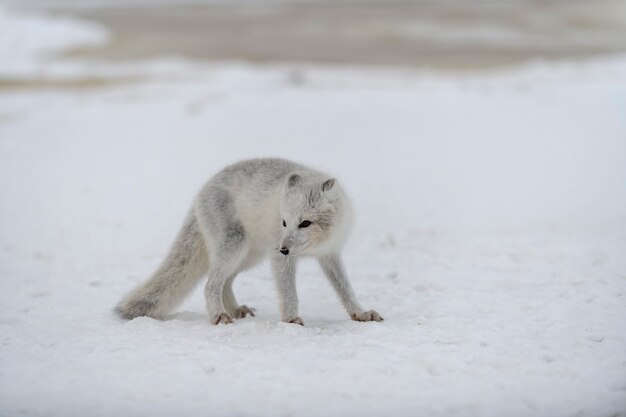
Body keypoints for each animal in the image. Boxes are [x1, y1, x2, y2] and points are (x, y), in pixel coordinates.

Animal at [115, 158, 382, 324]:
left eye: (305, 223)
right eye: (284, 222)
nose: (284, 248)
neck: (318, 243)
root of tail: (201, 192)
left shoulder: (330, 254)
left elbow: (346, 290)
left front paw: (360, 314)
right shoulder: (279, 259)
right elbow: (289, 293)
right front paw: (291, 320)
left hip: (249, 256)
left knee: (225, 282)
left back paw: (235, 310)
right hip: (235, 247)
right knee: (211, 284)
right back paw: (219, 316)